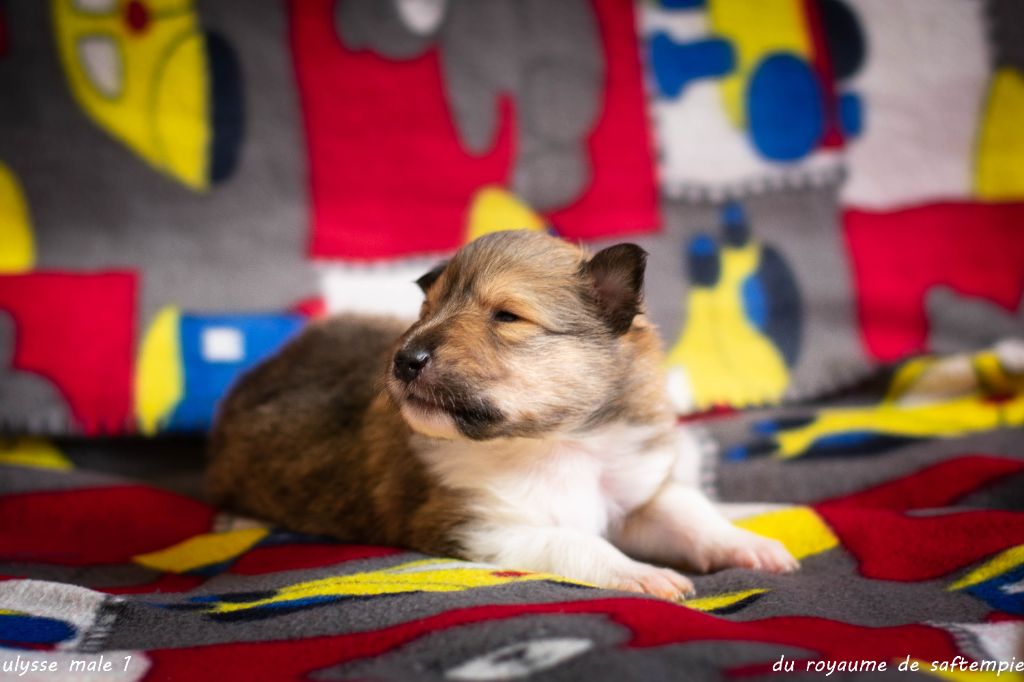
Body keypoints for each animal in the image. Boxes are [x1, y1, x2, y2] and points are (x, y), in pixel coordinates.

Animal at [207, 230, 798, 600]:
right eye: (426, 310)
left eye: (507, 316)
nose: (403, 359)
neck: (557, 443)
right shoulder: (478, 524)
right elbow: (573, 540)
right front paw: (645, 574)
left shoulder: (633, 491)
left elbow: (690, 512)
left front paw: (754, 546)